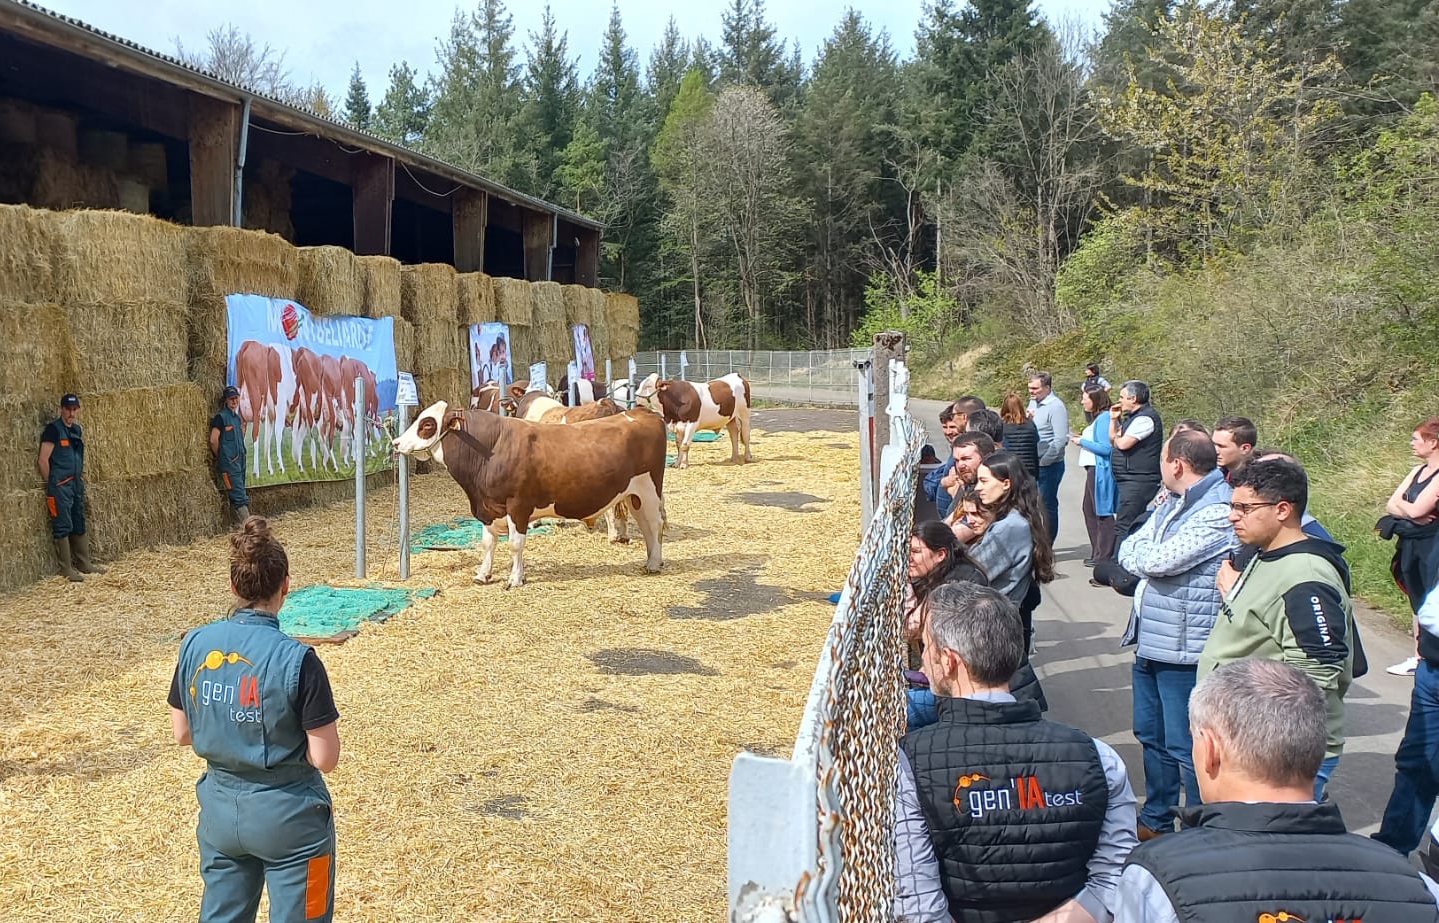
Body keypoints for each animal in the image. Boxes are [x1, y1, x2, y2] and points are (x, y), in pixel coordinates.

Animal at [391, 400, 664, 587]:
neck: (492, 447)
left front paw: (515, 579)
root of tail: (641, 412)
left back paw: (654, 563)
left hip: (649, 490)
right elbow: (488, 542)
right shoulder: (488, 508)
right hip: (634, 495)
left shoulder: (518, 505)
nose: (395, 443)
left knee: (655, 524)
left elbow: (515, 544)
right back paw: (651, 559)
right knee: (645, 525)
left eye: (427, 424)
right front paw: (483, 574)